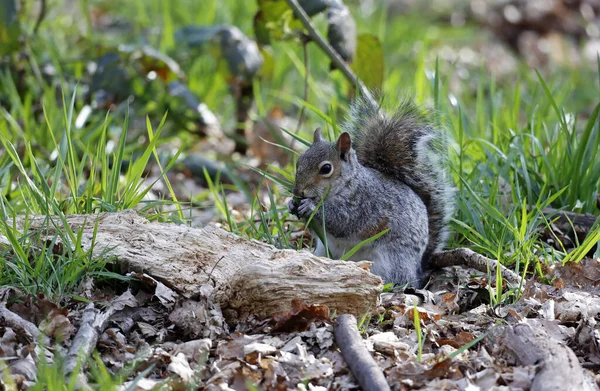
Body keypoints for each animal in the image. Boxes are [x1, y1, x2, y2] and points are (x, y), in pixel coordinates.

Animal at [288, 98, 452, 288]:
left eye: (326, 168)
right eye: (299, 161)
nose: (298, 191)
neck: (346, 184)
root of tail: (417, 270)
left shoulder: (363, 205)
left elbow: (341, 221)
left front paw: (310, 206)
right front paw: (291, 204)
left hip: (391, 261)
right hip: (323, 250)